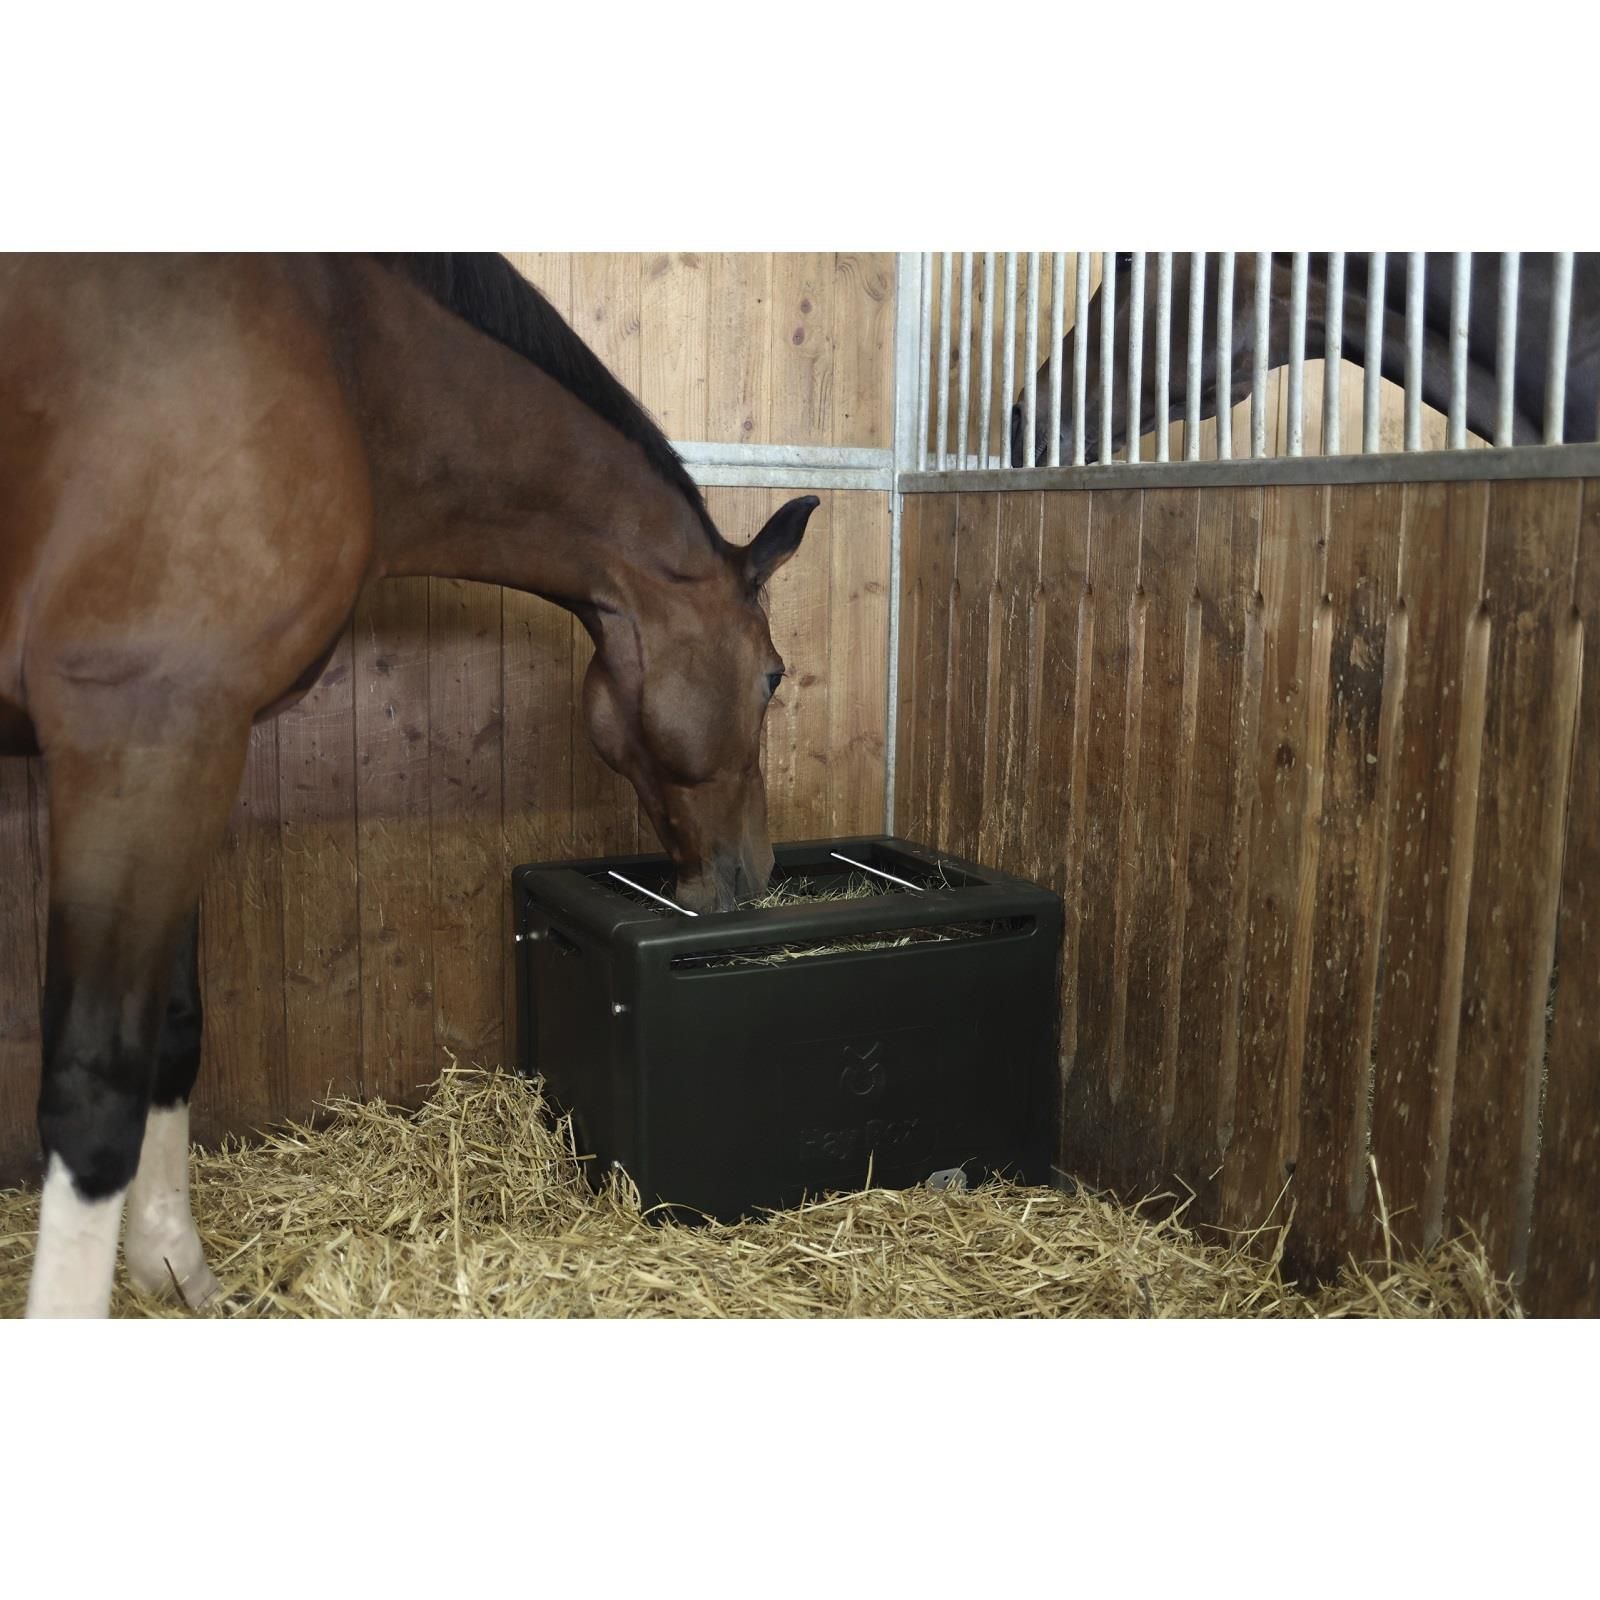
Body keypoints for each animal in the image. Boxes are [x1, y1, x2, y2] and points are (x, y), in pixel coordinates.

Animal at [0, 252, 818, 1317]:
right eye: (772, 676)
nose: (755, 869)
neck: (347, 364)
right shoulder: (144, 733)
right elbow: (95, 1089)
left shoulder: (189, 747)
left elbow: (170, 1033)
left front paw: (174, 1264)